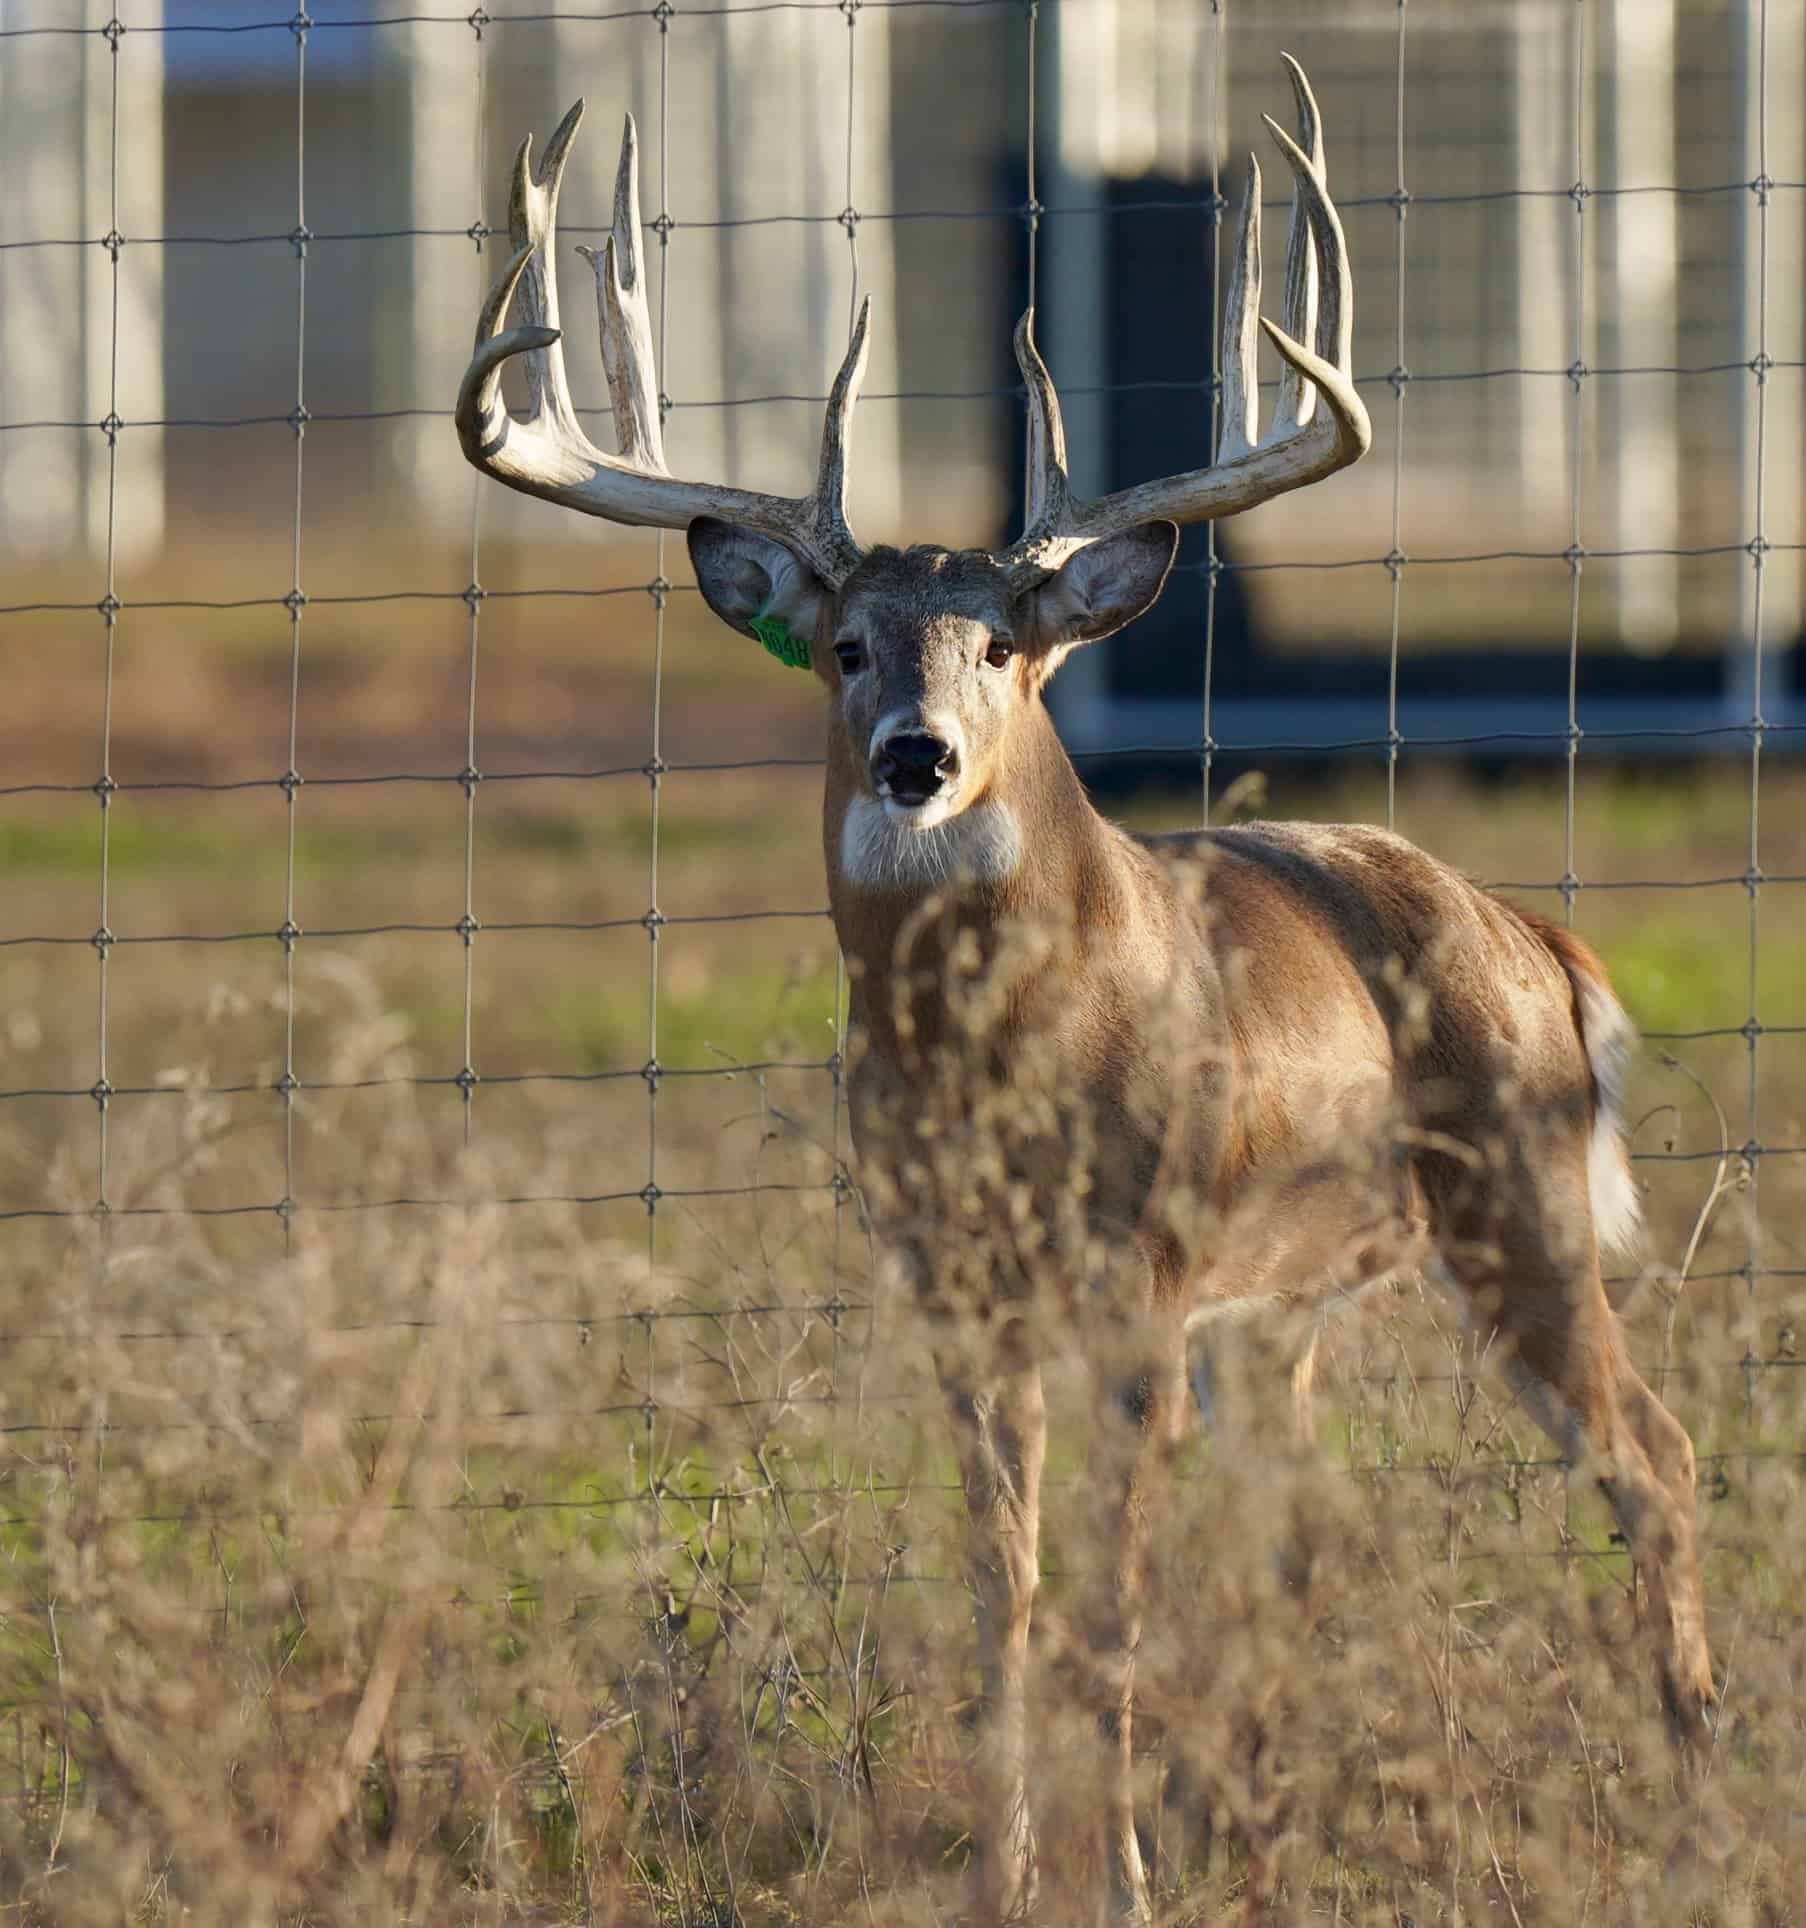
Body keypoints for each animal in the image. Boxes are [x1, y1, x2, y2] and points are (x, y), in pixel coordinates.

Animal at [456, 62, 1716, 1926]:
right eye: (847, 646)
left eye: (1004, 645)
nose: (916, 756)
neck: (1006, 1068)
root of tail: (1543, 945)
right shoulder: (955, 1288)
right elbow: (1011, 1591)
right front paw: (1008, 1869)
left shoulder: (1138, 1280)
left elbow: (1110, 1607)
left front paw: (1111, 1879)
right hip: (1290, 1298)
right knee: (1300, 1533)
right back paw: (1253, 1827)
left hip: (1516, 1196)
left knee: (1652, 1454)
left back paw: (1698, 1780)